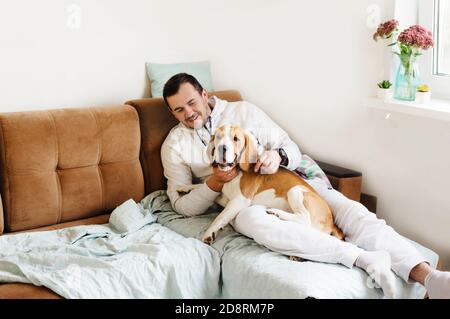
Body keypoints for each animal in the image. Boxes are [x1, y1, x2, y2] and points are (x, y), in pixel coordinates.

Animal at [177, 125, 344, 245]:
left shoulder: (240, 200)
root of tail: (332, 222)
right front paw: (185, 188)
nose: (221, 148)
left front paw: (209, 233)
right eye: (218, 137)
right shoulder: (221, 193)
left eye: (236, 139)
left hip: (296, 191)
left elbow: (220, 217)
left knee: (304, 219)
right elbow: (201, 186)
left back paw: (277, 213)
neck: (235, 172)